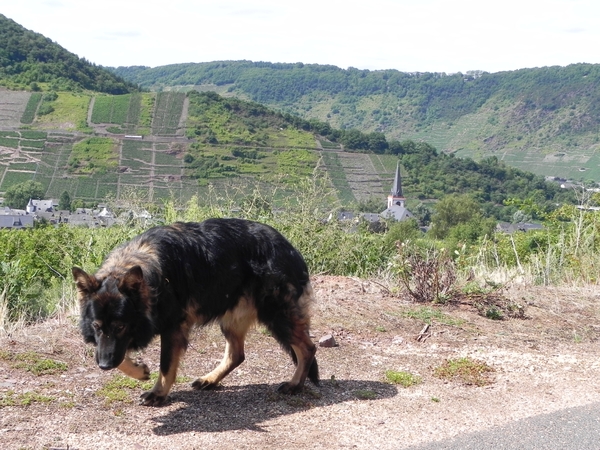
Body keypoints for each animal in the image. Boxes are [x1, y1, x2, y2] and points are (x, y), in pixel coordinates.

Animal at [72, 219, 318, 408]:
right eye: (96, 326)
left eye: (121, 326)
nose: (104, 366)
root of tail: (288, 246)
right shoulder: (114, 340)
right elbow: (115, 355)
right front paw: (139, 371)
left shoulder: (172, 328)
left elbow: (166, 365)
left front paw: (158, 393)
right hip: (232, 318)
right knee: (237, 354)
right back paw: (210, 379)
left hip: (277, 316)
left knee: (308, 348)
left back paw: (295, 384)